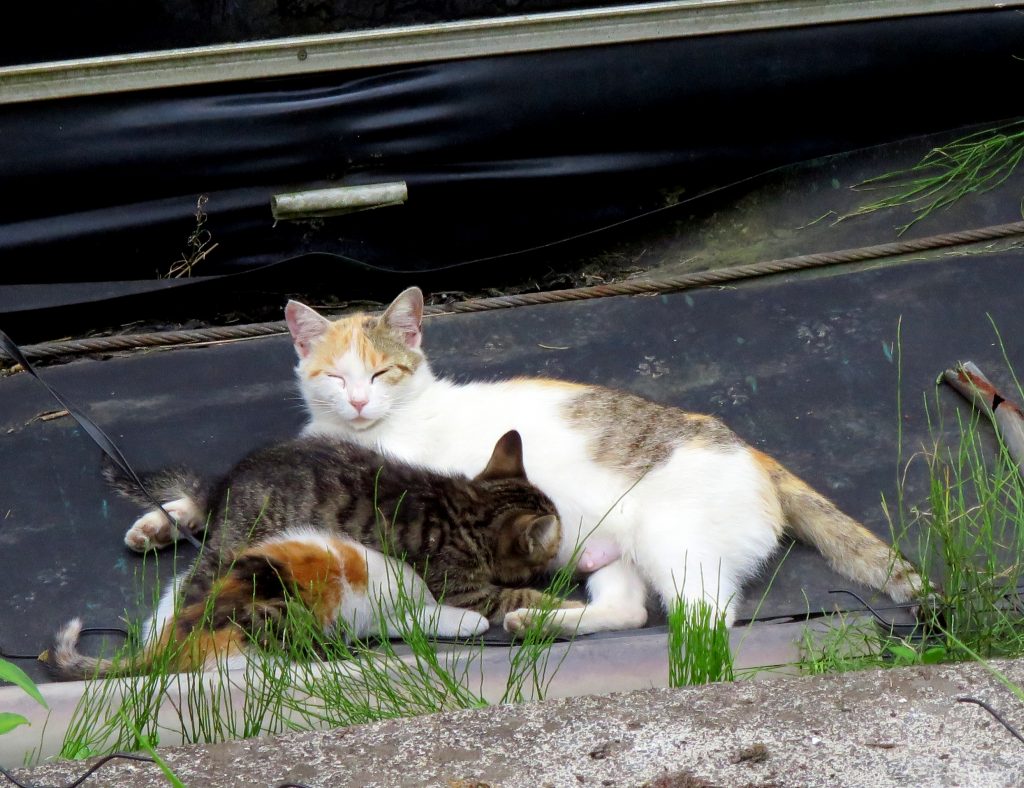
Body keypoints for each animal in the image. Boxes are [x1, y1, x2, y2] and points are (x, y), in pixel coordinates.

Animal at [54, 429, 569, 675]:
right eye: (551, 549)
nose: (562, 558)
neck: (466, 505)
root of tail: (230, 485)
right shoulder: (464, 589)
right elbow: (514, 597)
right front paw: (562, 603)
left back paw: (158, 527)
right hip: (234, 550)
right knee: (190, 596)